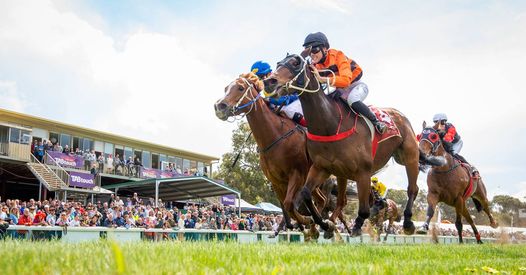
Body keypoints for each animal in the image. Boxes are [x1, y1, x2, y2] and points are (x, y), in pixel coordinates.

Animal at [214, 74, 350, 239]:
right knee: (321, 200)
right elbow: (287, 210)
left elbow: (289, 204)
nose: (219, 106)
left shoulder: (296, 175)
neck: (275, 136)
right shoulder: (276, 181)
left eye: (240, 88)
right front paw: (305, 224)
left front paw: (306, 221)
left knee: (338, 202)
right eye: (226, 88)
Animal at [264, 54, 424, 237]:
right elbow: (306, 194)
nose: (269, 81)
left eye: (295, 63)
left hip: (410, 157)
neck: (330, 124)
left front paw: (355, 227)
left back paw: (408, 223)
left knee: (412, 189)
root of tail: (400, 115)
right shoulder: (321, 167)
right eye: (278, 63)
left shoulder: (363, 172)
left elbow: (363, 209)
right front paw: (323, 224)